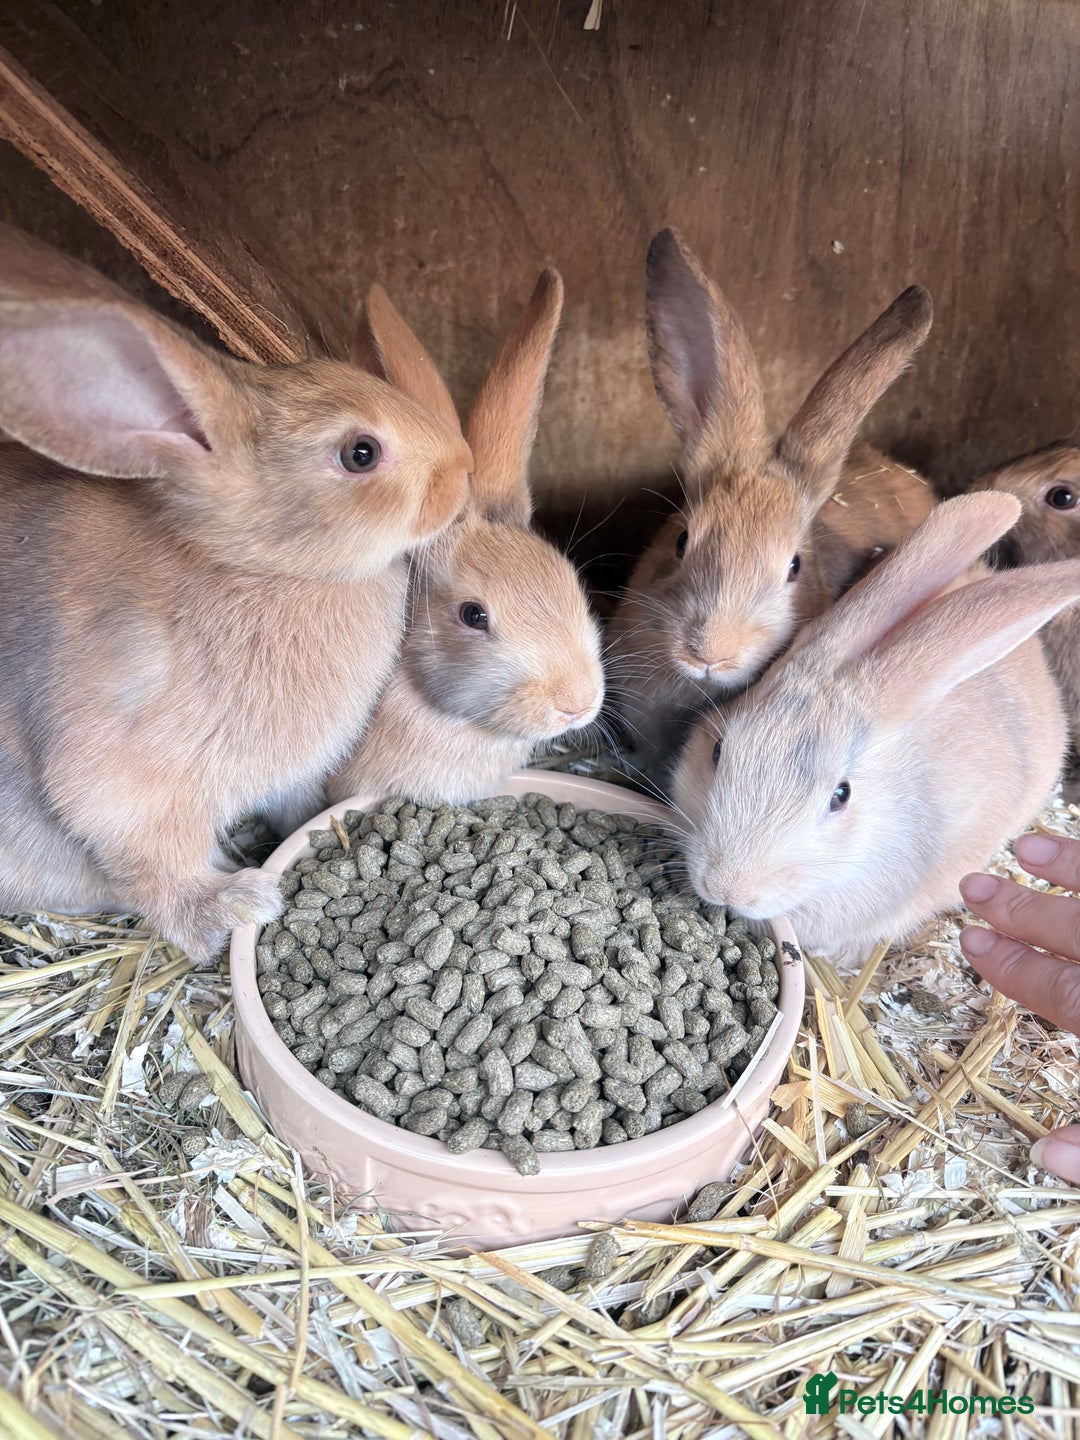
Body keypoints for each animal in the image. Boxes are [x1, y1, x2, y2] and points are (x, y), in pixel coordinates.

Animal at [0, 222, 472, 963]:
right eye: (361, 453)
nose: (464, 471)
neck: (257, 567)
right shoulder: (118, 778)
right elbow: (152, 859)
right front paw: (233, 908)